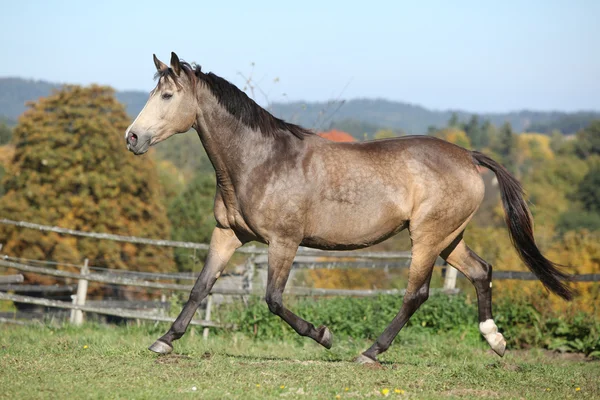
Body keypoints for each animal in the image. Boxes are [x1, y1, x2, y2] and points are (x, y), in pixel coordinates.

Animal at [125, 52, 572, 362]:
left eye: (167, 95)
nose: (132, 137)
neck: (259, 161)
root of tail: (468, 156)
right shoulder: (228, 234)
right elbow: (200, 287)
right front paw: (164, 341)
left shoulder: (284, 242)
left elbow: (273, 299)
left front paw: (324, 336)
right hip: (449, 237)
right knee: (481, 271)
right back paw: (495, 341)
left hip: (427, 238)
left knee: (417, 293)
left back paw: (370, 352)